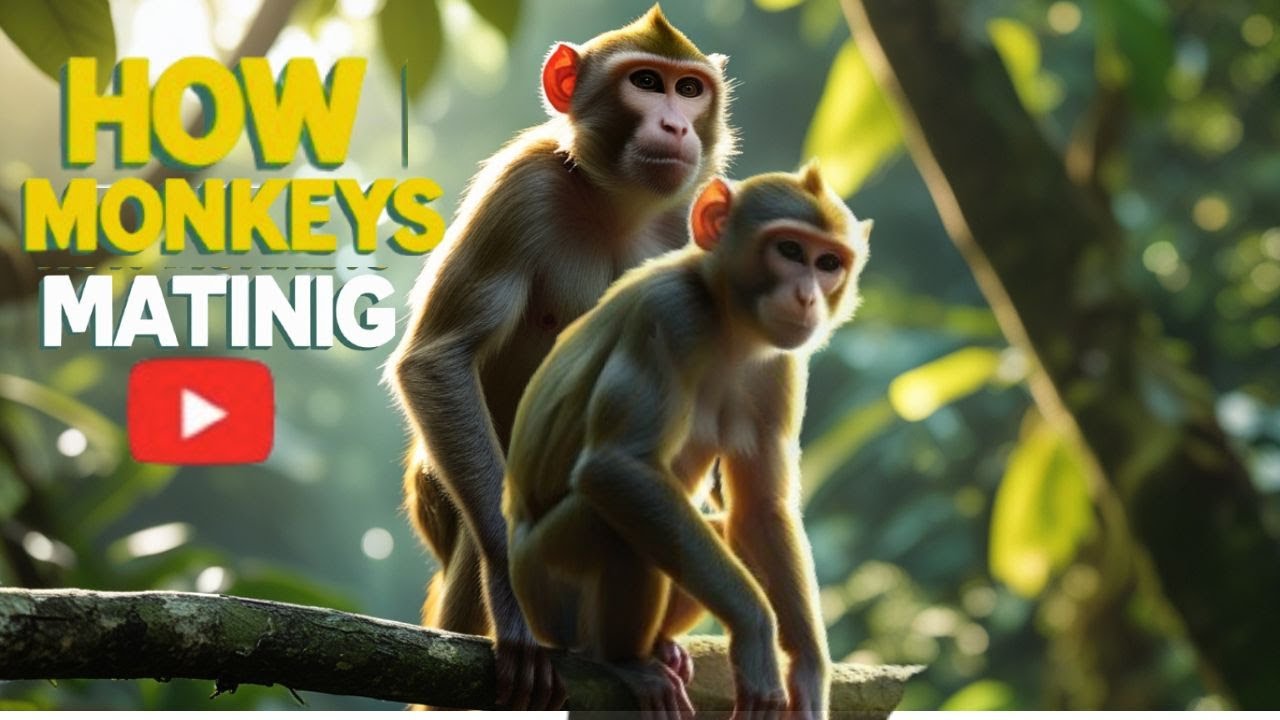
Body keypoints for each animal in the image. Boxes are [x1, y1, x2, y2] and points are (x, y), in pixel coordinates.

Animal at [385, 6, 734, 709]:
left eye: (690, 89)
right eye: (646, 82)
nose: (676, 124)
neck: (616, 207)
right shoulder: (520, 187)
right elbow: (439, 359)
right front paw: (513, 596)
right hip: (435, 495)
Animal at [503, 163, 872, 717]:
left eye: (828, 262)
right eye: (789, 250)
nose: (808, 296)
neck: (726, 321)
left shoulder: (780, 365)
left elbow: (760, 510)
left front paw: (807, 671)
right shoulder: (669, 313)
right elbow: (616, 465)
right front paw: (757, 635)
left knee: (717, 527)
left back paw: (661, 648)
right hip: (545, 590)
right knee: (612, 523)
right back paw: (624, 661)